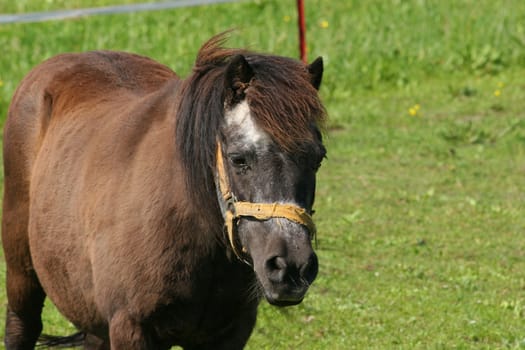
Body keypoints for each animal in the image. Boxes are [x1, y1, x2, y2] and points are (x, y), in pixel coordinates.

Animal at [2, 33, 326, 350]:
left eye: (318, 158)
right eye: (238, 159)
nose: (291, 268)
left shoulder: (229, 333)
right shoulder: (131, 328)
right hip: (22, 273)